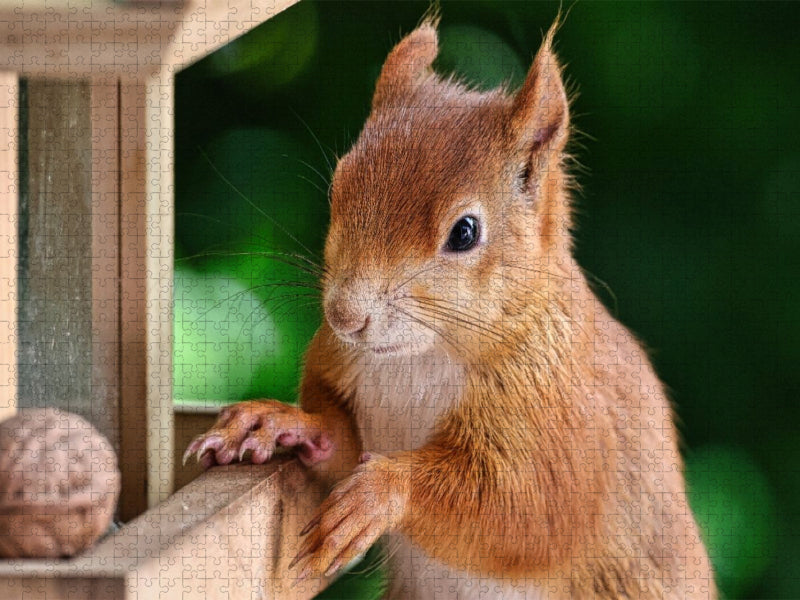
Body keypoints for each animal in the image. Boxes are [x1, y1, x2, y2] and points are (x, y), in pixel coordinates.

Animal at [184, 15, 716, 600]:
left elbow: (528, 513)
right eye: (338, 186)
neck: (416, 360)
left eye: (465, 232)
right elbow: (338, 443)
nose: (344, 317)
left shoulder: (564, 428)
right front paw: (278, 421)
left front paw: (381, 492)